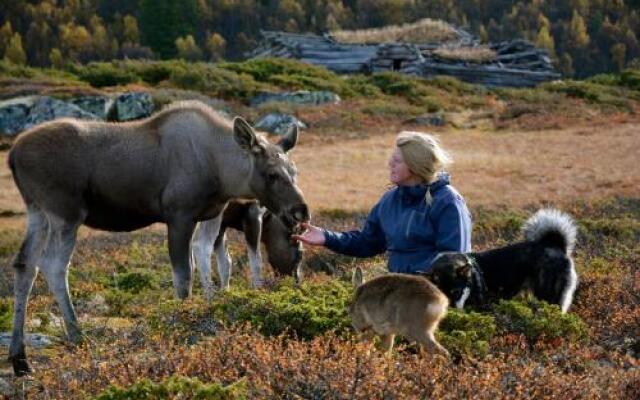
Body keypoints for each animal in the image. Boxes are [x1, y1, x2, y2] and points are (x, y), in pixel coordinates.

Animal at [8, 100, 310, 376]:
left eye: (294, 170)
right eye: (271, 173)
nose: (301, 211)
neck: (221, 173)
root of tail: (12, 155)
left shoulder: (207, 216)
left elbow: (205, 265)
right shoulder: (179, 215)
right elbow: (184, 276)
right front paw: (183, 326)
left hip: (37, 211)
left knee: (25, 265)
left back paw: (20, 359)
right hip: (66, 213)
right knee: (54, 266)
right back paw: (77, 336)